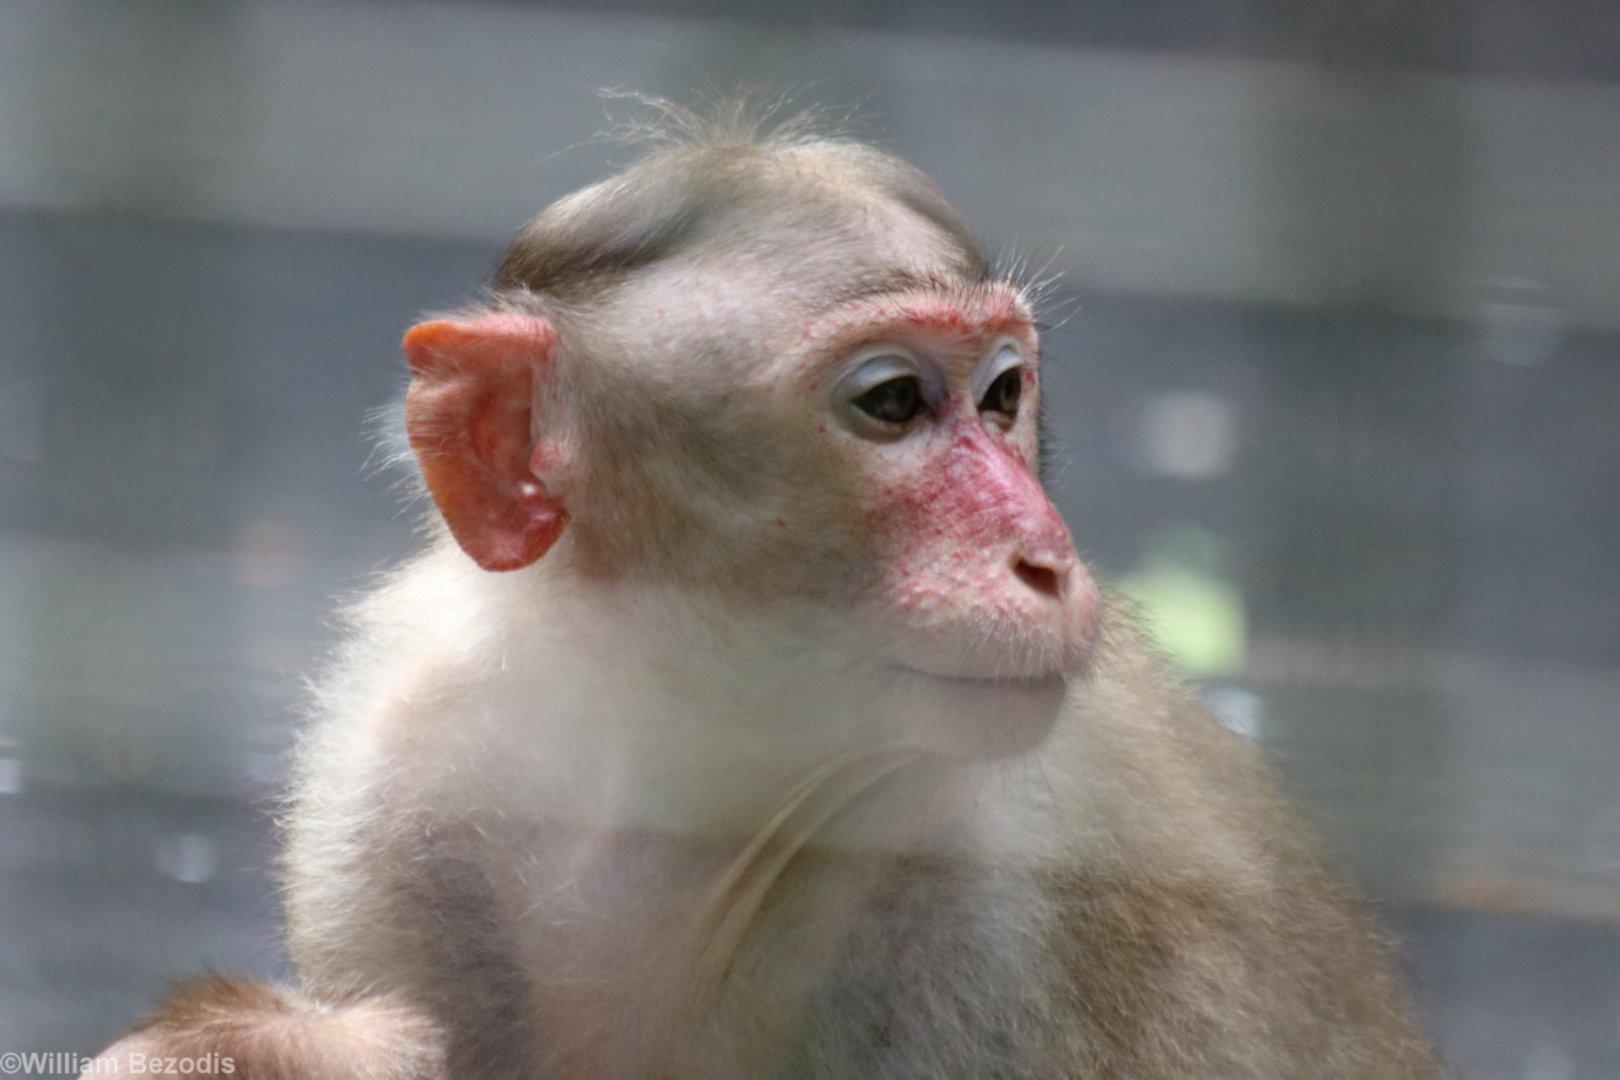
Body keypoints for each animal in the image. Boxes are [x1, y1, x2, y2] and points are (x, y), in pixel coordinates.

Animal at [90, 103, 1446, 1079]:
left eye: (1004, 393)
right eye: (892, 402)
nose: (1046, 556)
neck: (678, 774)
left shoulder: (987, 915)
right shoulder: (402, 775)